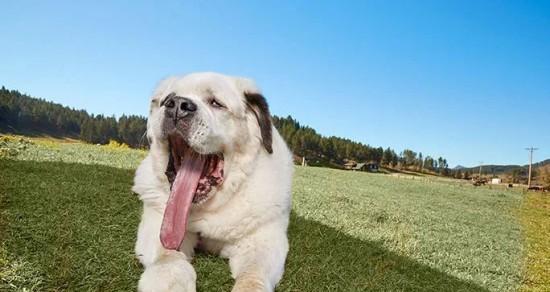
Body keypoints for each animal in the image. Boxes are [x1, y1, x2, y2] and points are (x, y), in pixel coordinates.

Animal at [132, 72, 296, 290]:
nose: (178, 105)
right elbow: (167, 255)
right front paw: (170, 280)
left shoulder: (263, 238)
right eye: (168, 99)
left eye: (216, 103)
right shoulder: (159, 221)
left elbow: (252, 275)